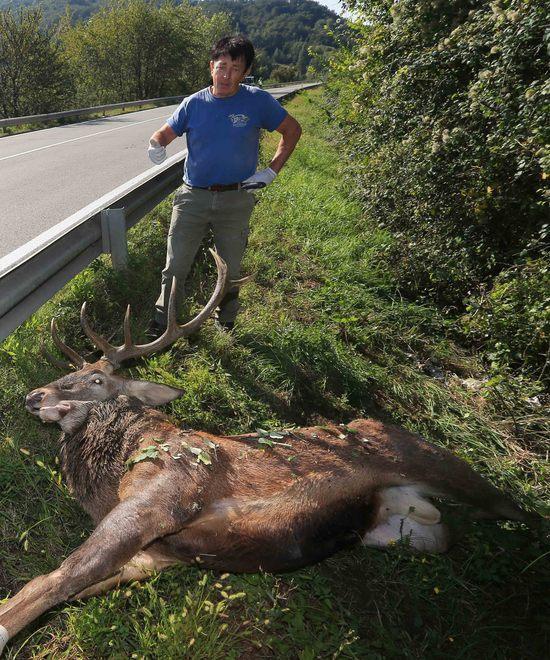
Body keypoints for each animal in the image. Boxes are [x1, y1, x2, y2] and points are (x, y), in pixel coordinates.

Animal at [0, 249, 539, 654]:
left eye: (94, 379)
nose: (34, 396)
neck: (112, 473)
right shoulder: (157, 556)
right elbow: (71, 589)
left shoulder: (165, 496)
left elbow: (57, 577)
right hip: (408, 532)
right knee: (449, 531)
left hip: (436, 461)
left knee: (522, 511)